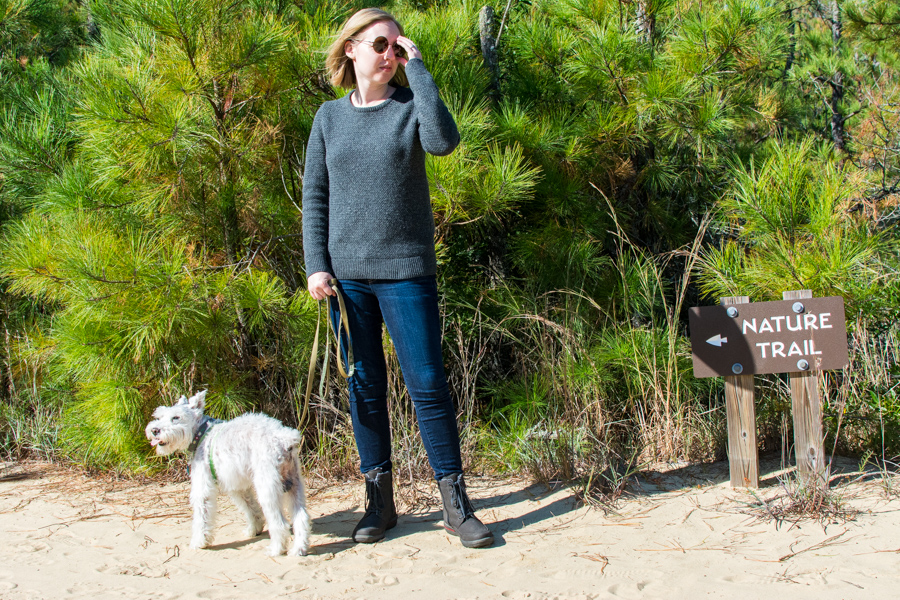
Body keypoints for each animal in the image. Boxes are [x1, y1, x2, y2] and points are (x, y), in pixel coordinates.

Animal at [142, 392, 308, 556]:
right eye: (159, 416)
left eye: (176, 417)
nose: (154, 430)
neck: (202, 434)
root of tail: (284, 440)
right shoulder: (238, 486)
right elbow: (250, 507)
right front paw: (253, 529)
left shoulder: (203, 488)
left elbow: (202, 517)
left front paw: (199, 542)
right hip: (295, 486)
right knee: (301, 517)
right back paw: (299, 549)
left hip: (268, 489)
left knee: (280, 523)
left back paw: (276, 549)